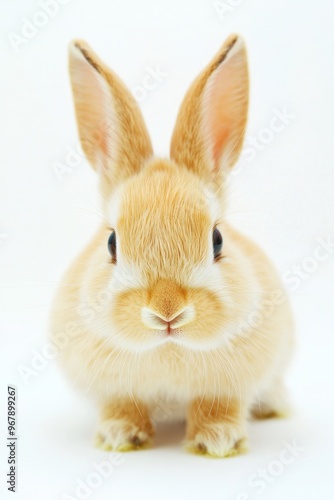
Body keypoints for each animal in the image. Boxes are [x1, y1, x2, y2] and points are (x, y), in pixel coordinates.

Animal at [50, 34, 294, 458]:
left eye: (217, 239)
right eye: (111, 243)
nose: (167, 312)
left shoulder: (226, 388)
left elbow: (218, 407)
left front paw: (217, 441)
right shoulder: (116, 389)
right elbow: (123, 406)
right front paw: (119, 436)